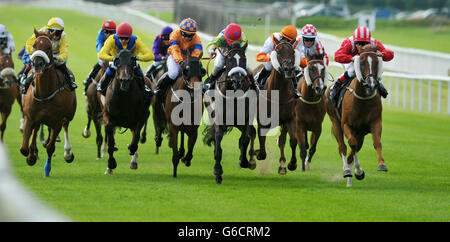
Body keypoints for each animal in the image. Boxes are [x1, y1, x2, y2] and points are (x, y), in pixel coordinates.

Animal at [19, 30, 76, 177]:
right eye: (34, 45)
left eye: (49, 47)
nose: (37, 64)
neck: (44, 93)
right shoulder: (30, 117)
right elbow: (24, 148)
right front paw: (31, 156)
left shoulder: (57, 121)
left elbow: (50, 147)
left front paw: (47, 169)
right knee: (35, 130)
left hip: (67, 116)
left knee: (65, 126)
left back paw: (68, 153)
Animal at [251, 38, 300, 174]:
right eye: (278, 51)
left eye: (293, 51)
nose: (288, 69)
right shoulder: (262, 120)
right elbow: (262, 148)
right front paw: (257, 153)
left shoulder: (290, 119)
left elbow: (292, 141)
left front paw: (292, 164)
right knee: (251, 133)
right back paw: (251, 160)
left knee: (282, 140)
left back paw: (282, 165)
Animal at [324, 44, 386, 187]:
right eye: (361, 62)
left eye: (376, 61)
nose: (371, 83)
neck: (362, 100)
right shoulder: (346, 124)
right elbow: (351, 144)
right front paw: (353, 170)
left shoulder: (375, 122)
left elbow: (376, 142)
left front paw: (381, 164)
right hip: (335, 122)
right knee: (342, 147)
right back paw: (347, 171)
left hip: (360, 133)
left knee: (354, 148)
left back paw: (351, 178)